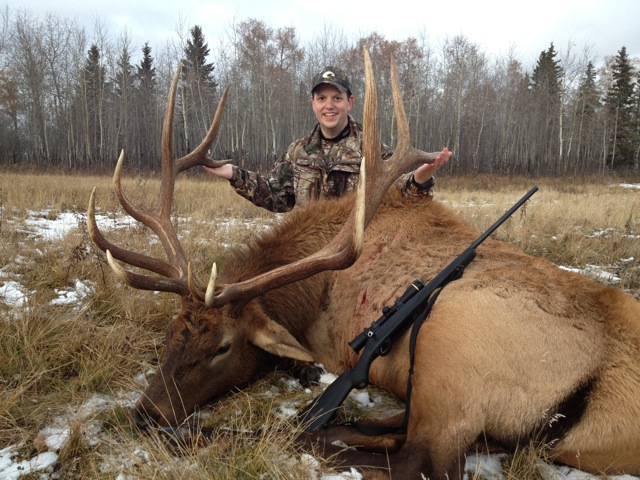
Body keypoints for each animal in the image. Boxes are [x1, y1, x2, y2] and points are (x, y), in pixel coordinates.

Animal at [88, 50, 640, 479]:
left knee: (418, 459)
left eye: (223, 346)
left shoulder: (335, 346)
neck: (311, 294)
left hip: (452, 344)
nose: (145, 415)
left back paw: (219, 434)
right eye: (171, 334)